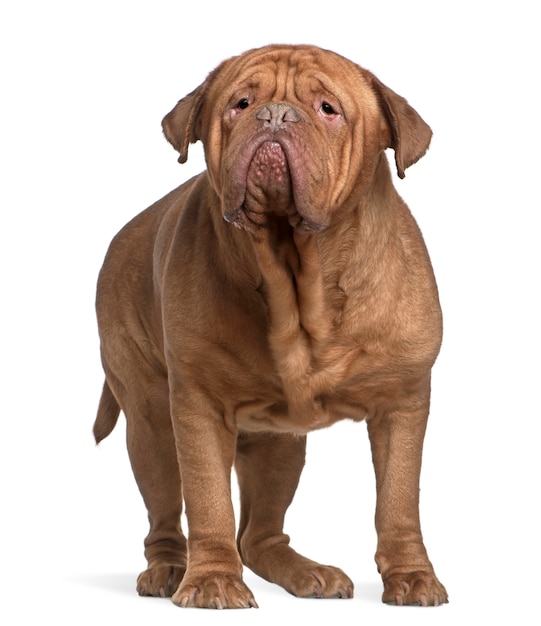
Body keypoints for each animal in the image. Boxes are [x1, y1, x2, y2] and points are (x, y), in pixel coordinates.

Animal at [93, 42, 448, 604]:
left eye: (328, 109)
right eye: (240, 103)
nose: (275, 115)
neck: (297, 280)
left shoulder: (403, 402)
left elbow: (398, 499)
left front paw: (413, 577)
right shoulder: (197, 407)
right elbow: (208, 499)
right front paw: (212, 581)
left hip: (279, 443)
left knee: (259, 535)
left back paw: (308, 573)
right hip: (150, 422)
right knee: (167, 510)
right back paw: (170, 567)